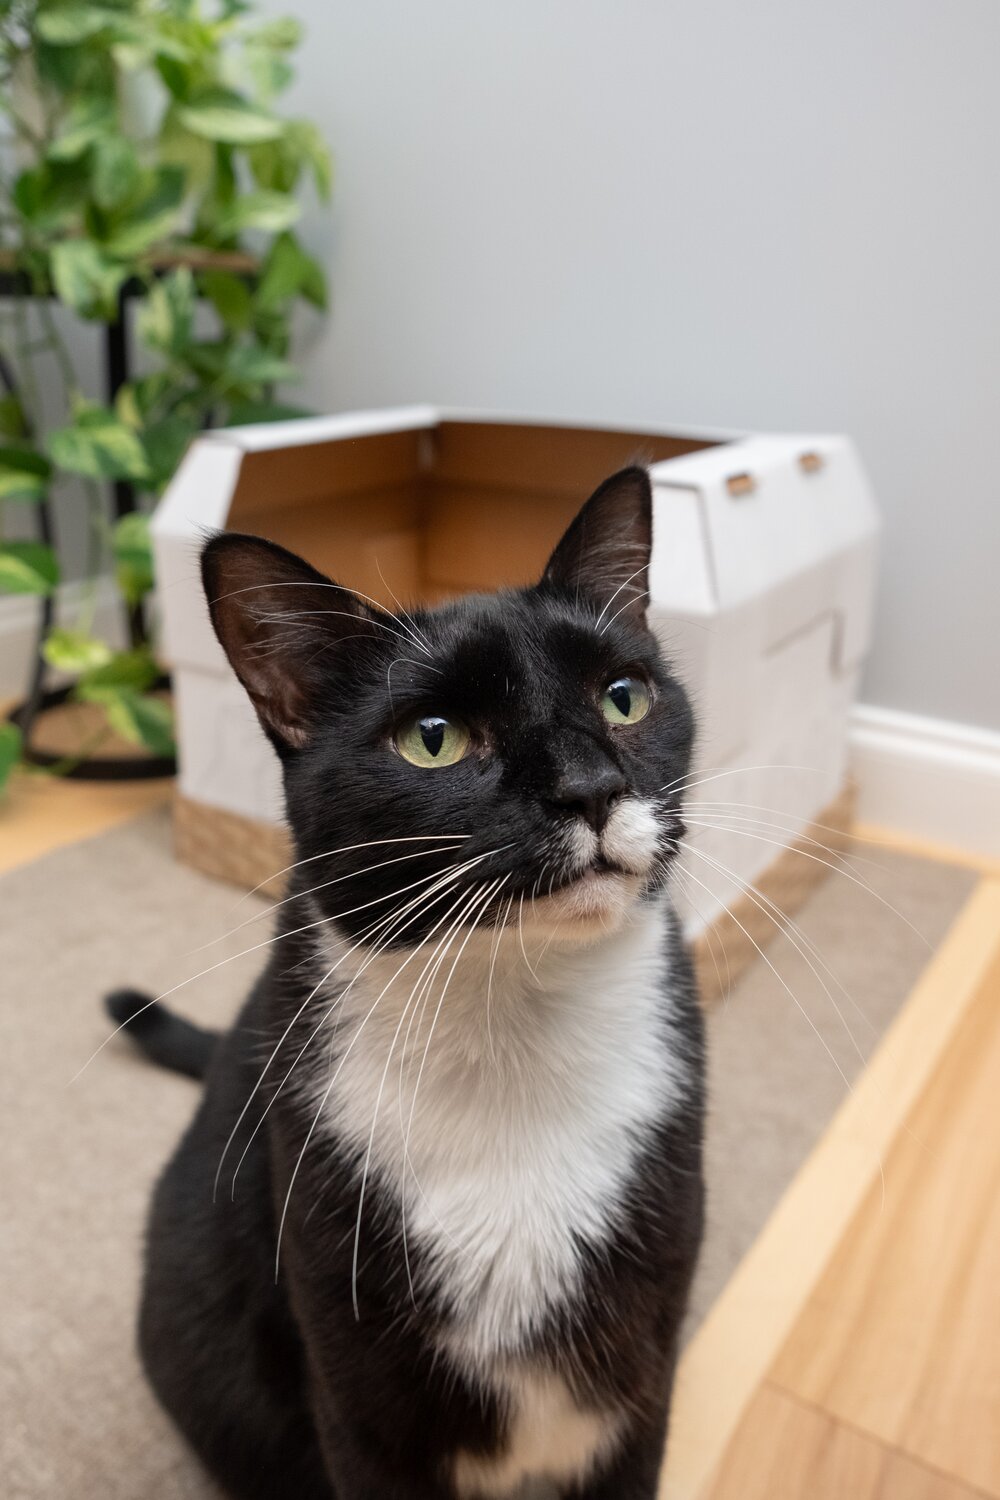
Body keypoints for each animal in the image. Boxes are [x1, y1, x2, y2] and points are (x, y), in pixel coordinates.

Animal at [113, 468, 707, 1500]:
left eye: (625, 697)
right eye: (433, 739)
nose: (590, 786)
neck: (515, 1025)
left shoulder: (641, 1374)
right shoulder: (357, 1385)